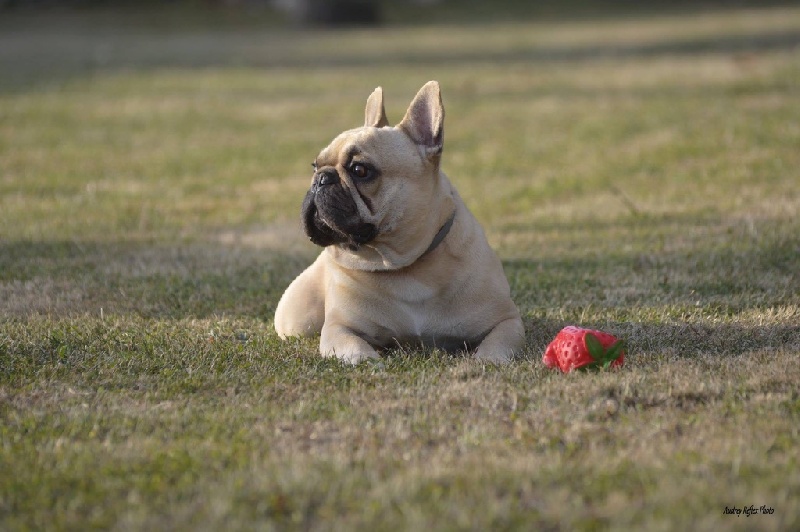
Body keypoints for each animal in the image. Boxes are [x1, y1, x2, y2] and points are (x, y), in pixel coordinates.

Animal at [274, 81, 524, 363]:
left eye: (360, 170)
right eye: (314, 166)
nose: (321, 179)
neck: (402, 264)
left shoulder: (507, 321)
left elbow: (497, 345)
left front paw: (486, 360)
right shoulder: (339, 328)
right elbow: (354, 347)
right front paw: (369, 361)